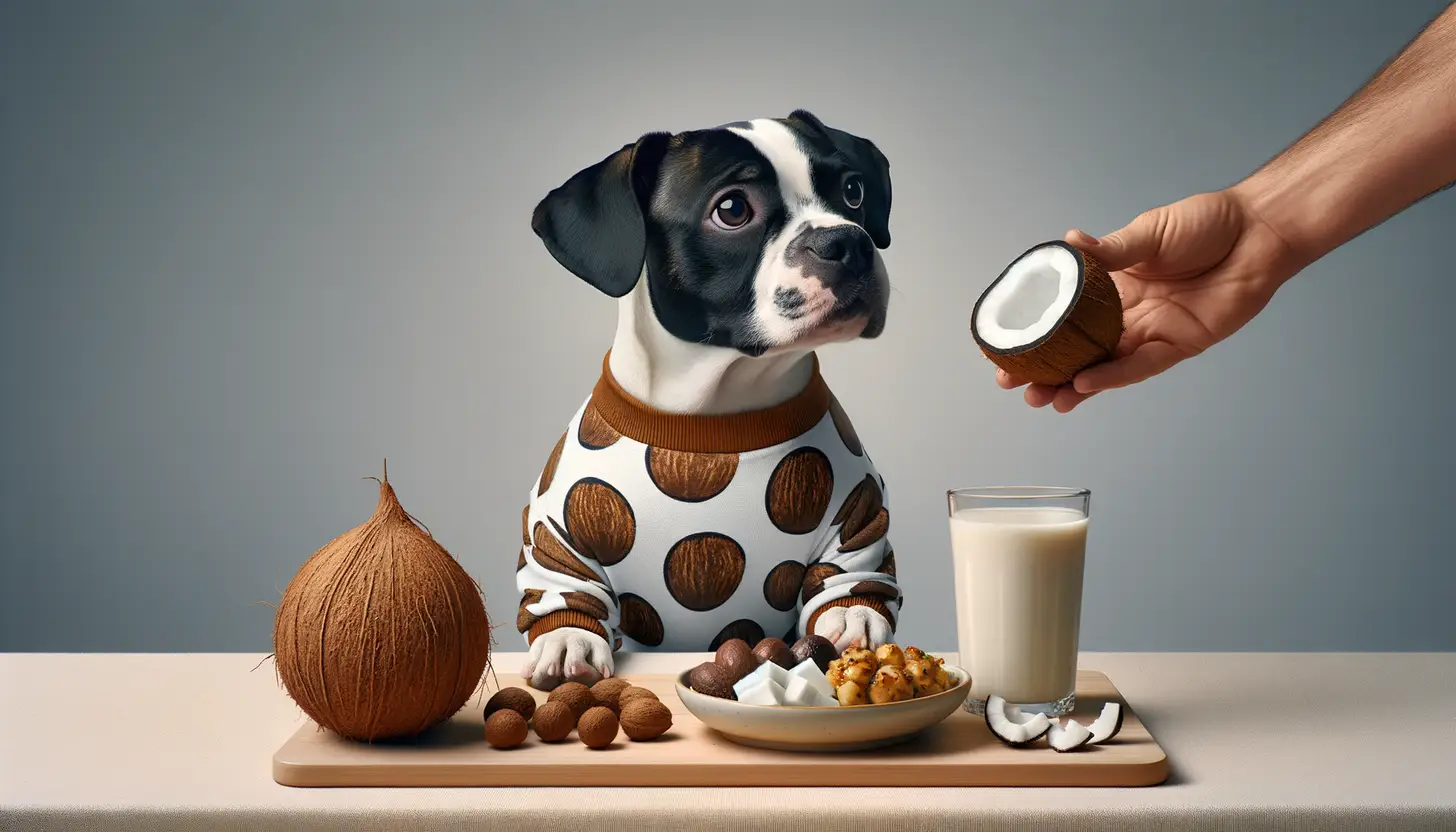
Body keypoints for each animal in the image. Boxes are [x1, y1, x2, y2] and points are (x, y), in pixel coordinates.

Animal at [512, 113, 896, 693]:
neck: (716, 416)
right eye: (732, 209)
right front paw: (566, 639)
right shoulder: (558, 534)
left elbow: (851, 573)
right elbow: (564, 587)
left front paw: (853, 614)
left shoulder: (858, 516)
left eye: (853, 191)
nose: (847, 241)